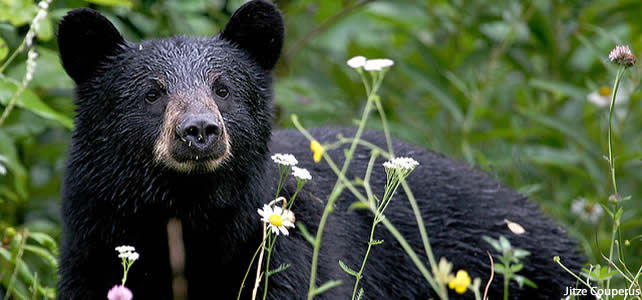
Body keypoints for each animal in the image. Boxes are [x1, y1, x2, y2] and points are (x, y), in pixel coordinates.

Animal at [57, 1, 584, 298]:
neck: (187, 214)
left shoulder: (285, 252)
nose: (199, 131)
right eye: (153, 93)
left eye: (223, 89)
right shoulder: (94, 239)